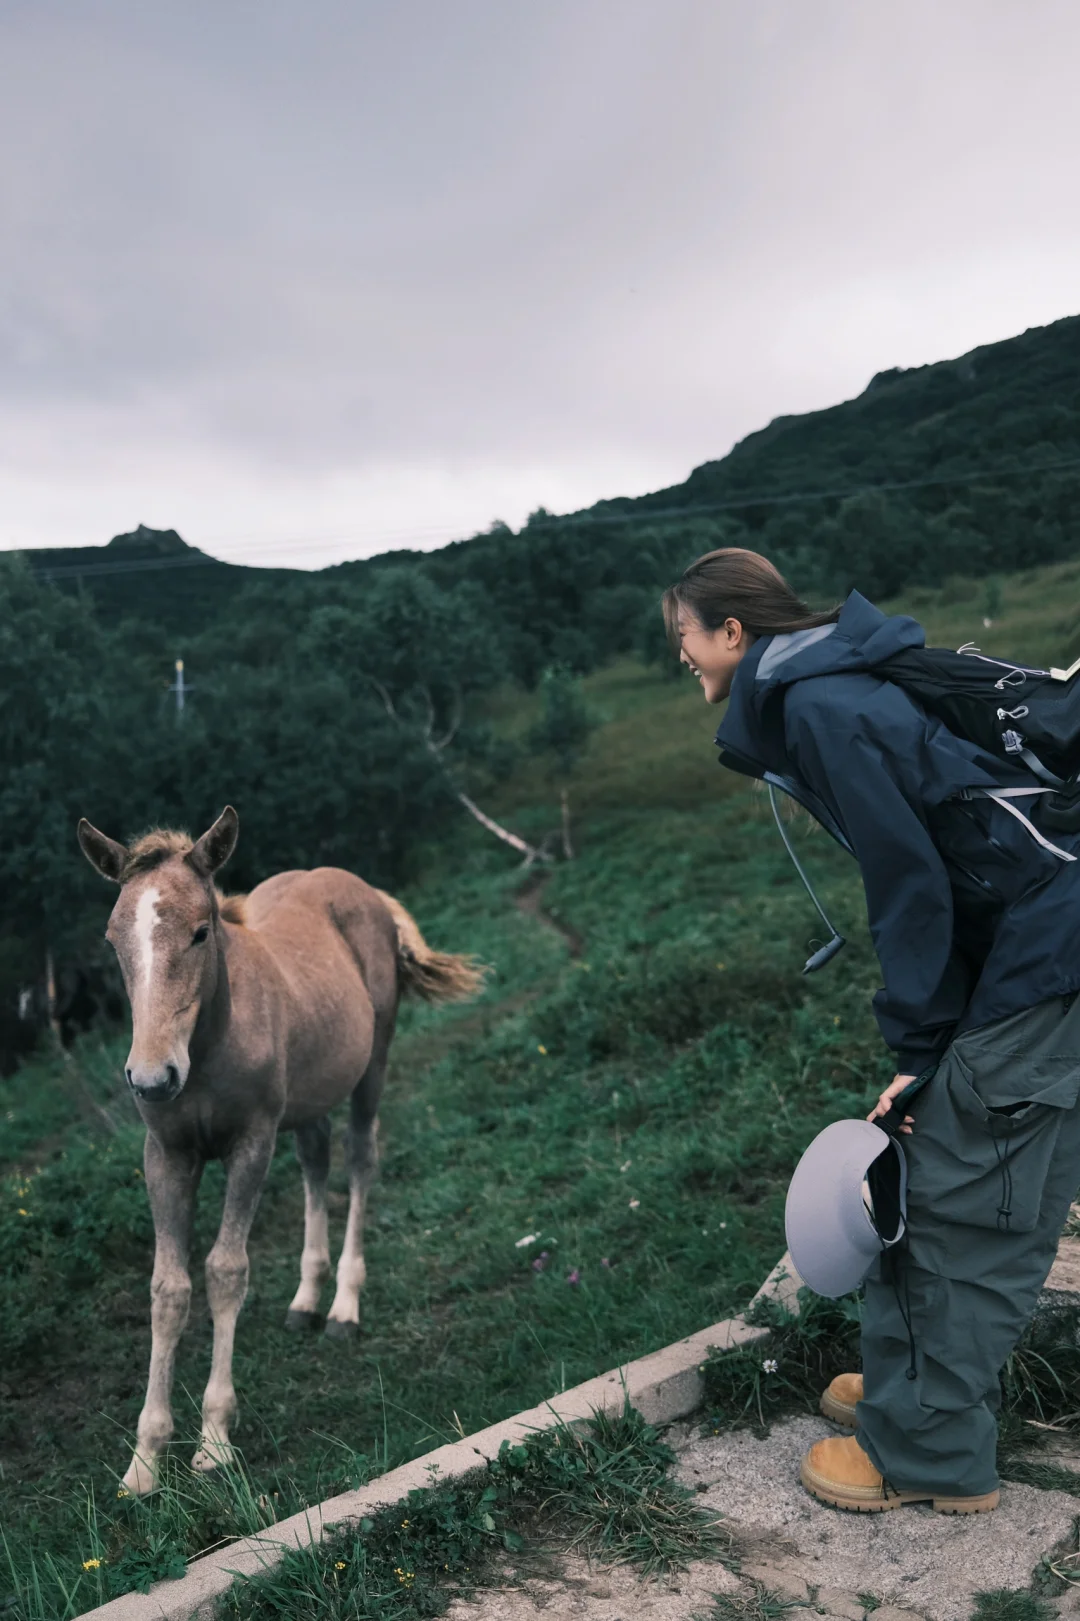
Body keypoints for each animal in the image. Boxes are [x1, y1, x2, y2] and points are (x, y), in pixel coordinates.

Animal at [81, 807, 486, 1491]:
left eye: (200, 931)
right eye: (114, 941)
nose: (152, 1079)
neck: (207, 1047)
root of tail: (364, 890)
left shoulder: (252, 1141)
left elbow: (225, 1270)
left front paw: (213, 1441)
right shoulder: (166, 1155)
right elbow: (168, 1288)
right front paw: (144, 1462)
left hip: (371, 1067)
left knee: (359, 1161)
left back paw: (344, 1307)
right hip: (308, 1101)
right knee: (316, 1164)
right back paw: (306, 1300)